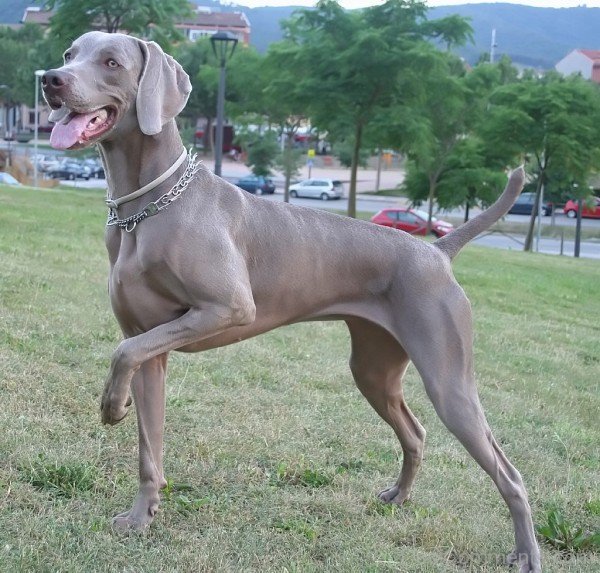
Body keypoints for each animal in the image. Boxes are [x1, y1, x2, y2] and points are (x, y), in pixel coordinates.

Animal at [42, 32, 540, 572]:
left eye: (112, 62)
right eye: (70, 54)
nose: (50, 80)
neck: (147, 209)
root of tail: (436, 250)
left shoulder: (227, 309)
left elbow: (122, 354)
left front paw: (112, 405)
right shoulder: (150, 345)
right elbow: (147, 442)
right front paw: (140, 516)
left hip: (449, 379)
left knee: (508, 471)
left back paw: (526, 553)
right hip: (374, 368)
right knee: (416, 432)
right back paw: (398, 498)